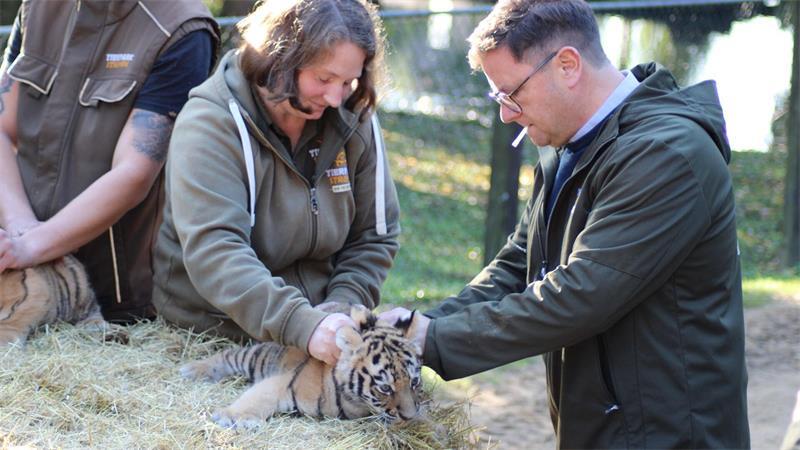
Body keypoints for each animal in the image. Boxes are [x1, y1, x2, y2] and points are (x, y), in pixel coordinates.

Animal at [179, 305, 425, 428]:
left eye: (414, 382)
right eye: (384, 388)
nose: (410, 417)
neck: (355, 402)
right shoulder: (284, 381)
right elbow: (258, 396)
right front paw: (233, 417)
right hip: (258, 356)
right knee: (229, 355)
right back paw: (193, 370)